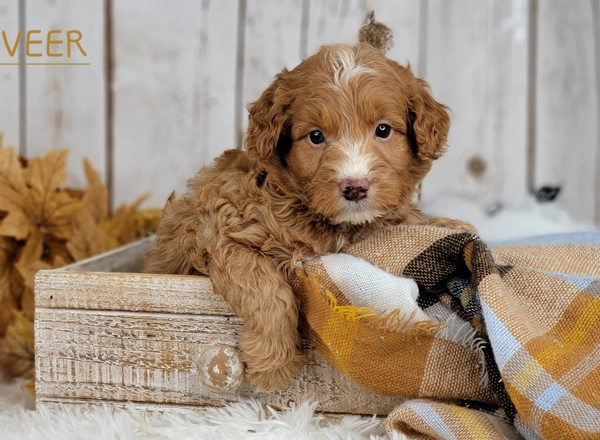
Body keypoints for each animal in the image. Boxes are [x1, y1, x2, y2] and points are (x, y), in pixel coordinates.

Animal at [143, 42, 476, 392]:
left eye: (383, 130)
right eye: (316, 137)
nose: (355, 187)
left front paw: (448, 226)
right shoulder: (219, 229)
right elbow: (267, 288)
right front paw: (273, 361)